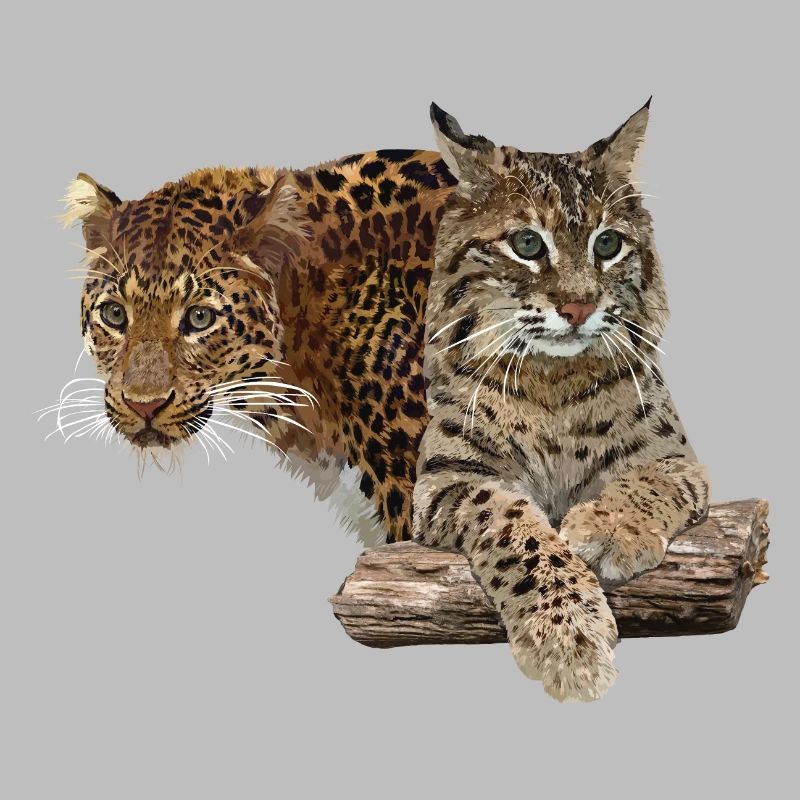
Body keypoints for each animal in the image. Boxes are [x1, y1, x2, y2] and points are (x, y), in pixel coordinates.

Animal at [412, 101, 710, 701]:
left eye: (607, 245)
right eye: (527, 245)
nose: (578, 307)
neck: (553, 378)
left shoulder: (678, 460)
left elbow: (648, 480)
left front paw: (611, 528)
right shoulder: (445, 478)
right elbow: (512, 524)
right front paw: (567, 639)